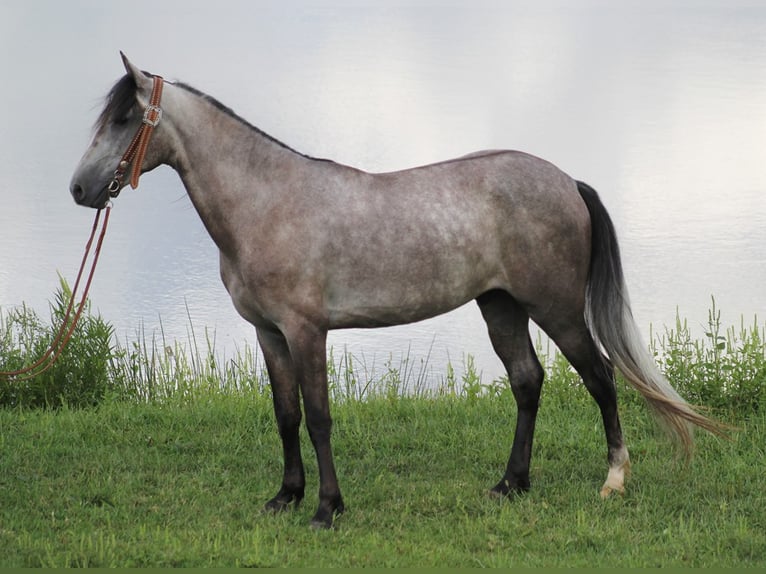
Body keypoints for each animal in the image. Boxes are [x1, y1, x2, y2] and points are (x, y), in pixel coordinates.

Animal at [67, 55, 728, 532]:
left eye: (123, 120)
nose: (79, 189)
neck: (267, 203)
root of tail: (567, 180)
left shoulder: (306, 331)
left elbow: (319, 417)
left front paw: (327, 509)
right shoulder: (269, 333)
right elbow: (285, 415)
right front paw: (285, 496)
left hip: (557, 309)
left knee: (600, 377)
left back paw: (614, 480)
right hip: (502, 306)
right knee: (527, 381)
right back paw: (510, 483)